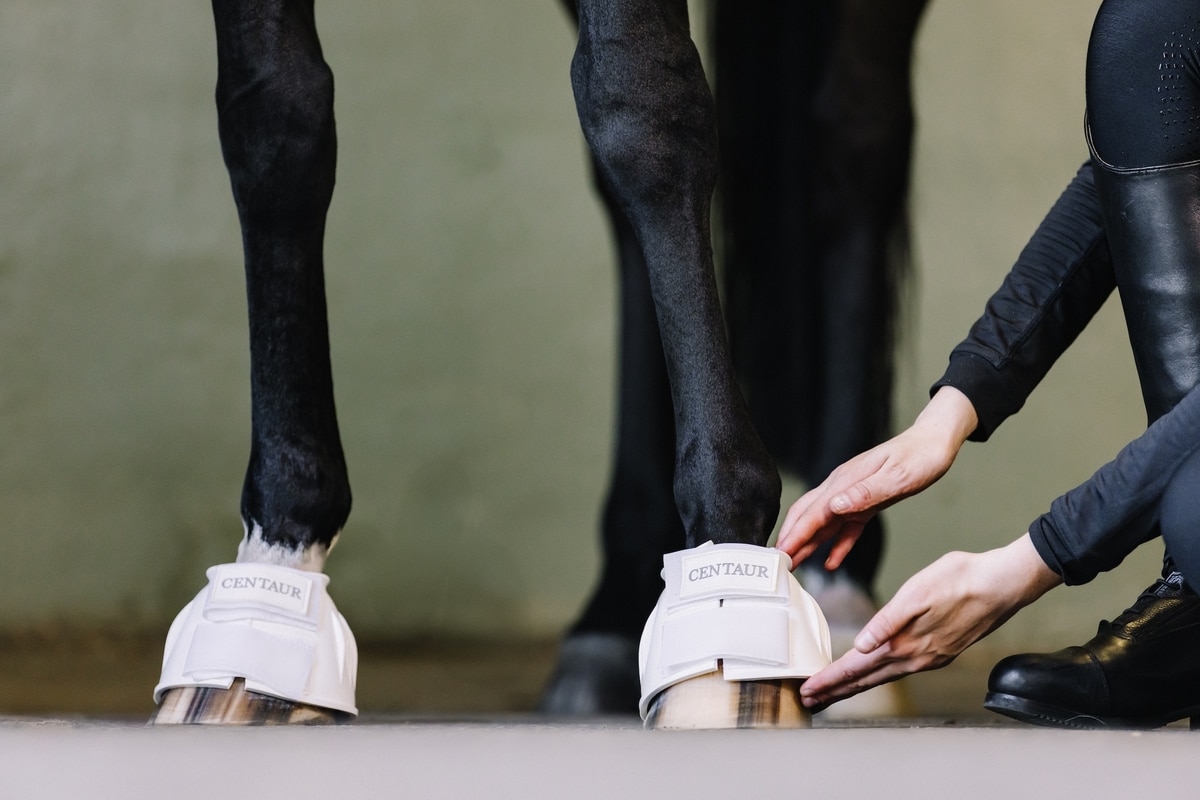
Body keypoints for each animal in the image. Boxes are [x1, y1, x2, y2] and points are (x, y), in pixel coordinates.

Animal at [149, 0, 927, 727]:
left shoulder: (652, 106)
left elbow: (643, 105)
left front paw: (728, 570)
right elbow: (273, 121)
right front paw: (270, 587)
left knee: (857, 136)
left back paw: (840, 589)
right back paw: (617, 601)